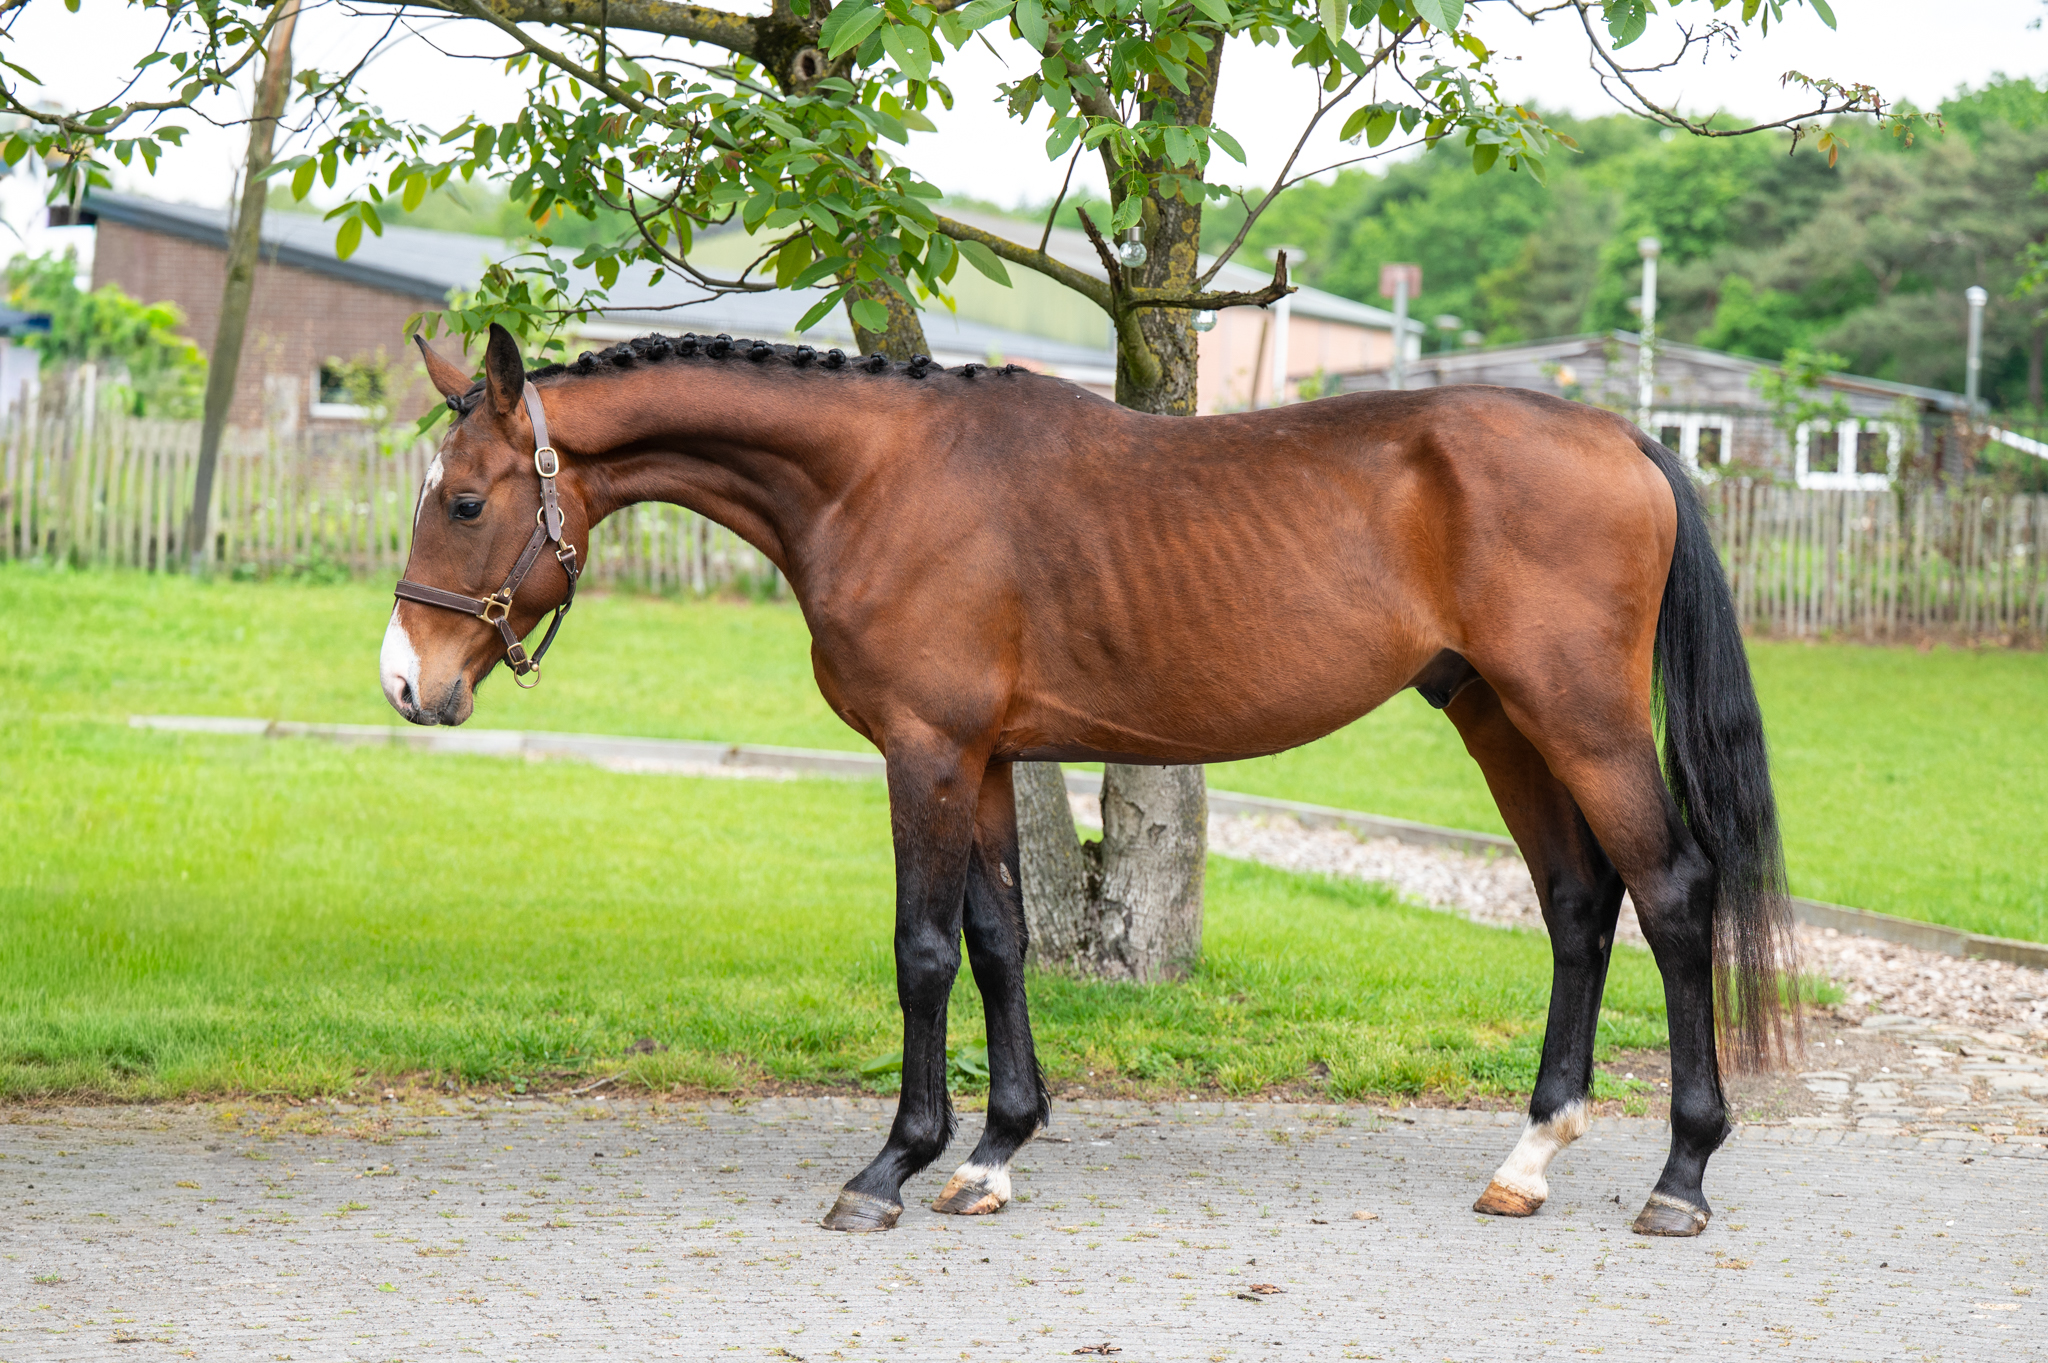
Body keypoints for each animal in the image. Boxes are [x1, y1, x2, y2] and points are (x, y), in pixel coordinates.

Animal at [382, 322, 1795, 1239]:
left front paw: (890, 1168)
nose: (407, 682)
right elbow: (1000, 939)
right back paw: (1529, 1156)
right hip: (1497, 716)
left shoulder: (925, 751)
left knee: (1670, 893)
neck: (878, 481)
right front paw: (994, 1151)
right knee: (1576, 902)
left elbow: (922, 951)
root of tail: (1621, 435)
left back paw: (1679, 1176)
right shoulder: (987, 760)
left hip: (1578, 717)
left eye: (463, 502)